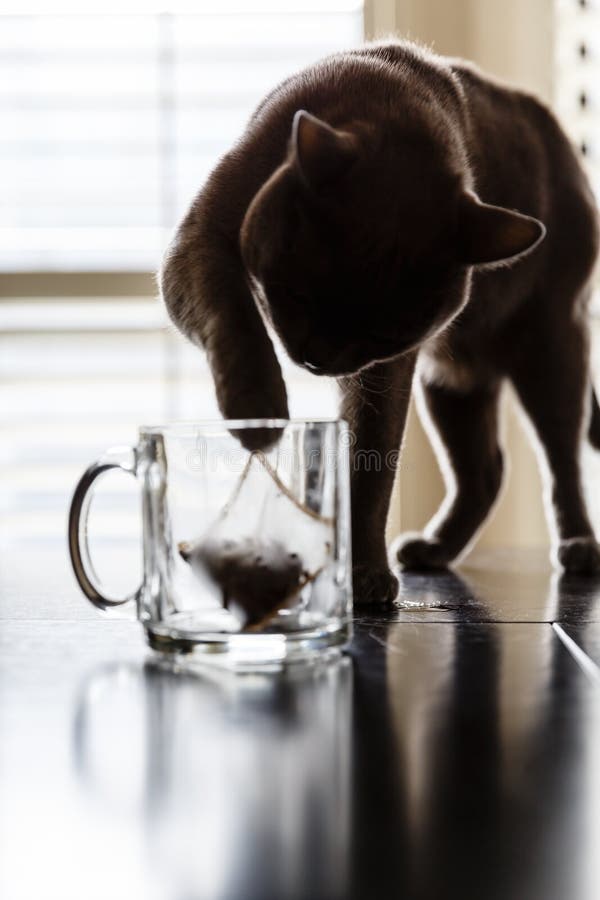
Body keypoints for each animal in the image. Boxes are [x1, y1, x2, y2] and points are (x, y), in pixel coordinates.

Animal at [159, 40, 600, 604]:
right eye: (299, 294)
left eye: (384, 333)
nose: (317, 359)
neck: (387, 97)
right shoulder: (199, 244)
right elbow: (233, 318)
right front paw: (258, 411)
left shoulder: (387, 368)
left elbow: (371, 462)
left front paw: (363, 572)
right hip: (453, 379)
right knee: (486, 470)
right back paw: (433, 549)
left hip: (551, 345)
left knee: (560, 458)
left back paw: (578, 547)